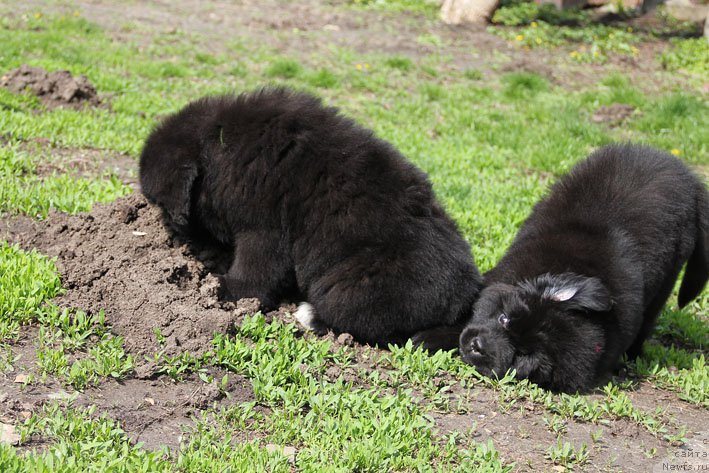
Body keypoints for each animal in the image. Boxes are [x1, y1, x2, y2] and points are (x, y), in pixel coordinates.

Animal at [138, 86, 482, 344]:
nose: (173, 237)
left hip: (355, 283)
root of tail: (465, 296)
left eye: (163, 207)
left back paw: (307, 314)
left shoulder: (264, 229)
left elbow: (256, 269)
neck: (219, 150)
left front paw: (226, 289)